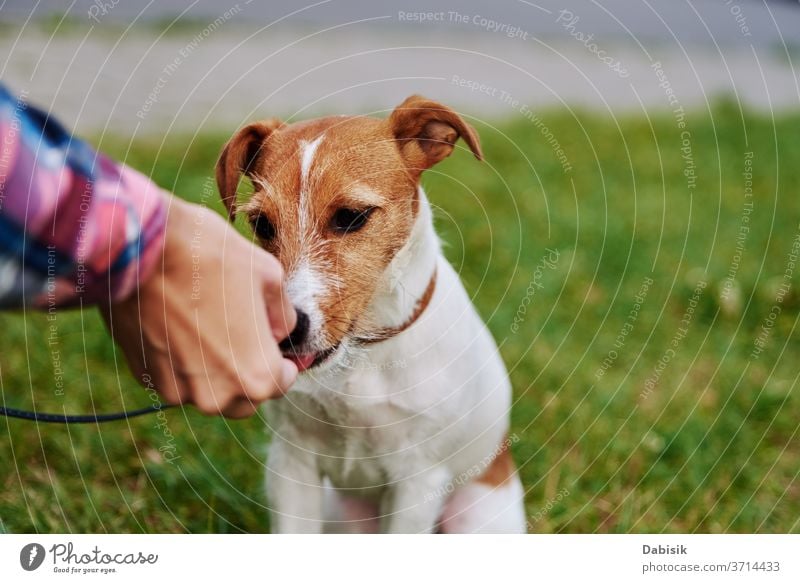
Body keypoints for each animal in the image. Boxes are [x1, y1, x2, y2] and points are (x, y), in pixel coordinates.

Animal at [216, 92, 528, 532]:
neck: (360, 354)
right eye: (261, 224)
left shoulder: (418, 481)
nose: (284, 332)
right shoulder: (292, 464)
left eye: (351, 217)